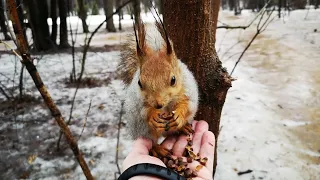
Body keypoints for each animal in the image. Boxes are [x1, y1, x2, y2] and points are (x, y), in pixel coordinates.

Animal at [117, 20, 198, 158]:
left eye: (173, 80)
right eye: (139, 83)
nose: (158, 104)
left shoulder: (188, 88)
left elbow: (188, 104)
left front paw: (179, 115)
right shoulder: (138, 101)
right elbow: (143, 110)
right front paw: (152, 114)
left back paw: (182, 127)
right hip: (144, 130)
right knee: (151, 141)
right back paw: (157, 149)